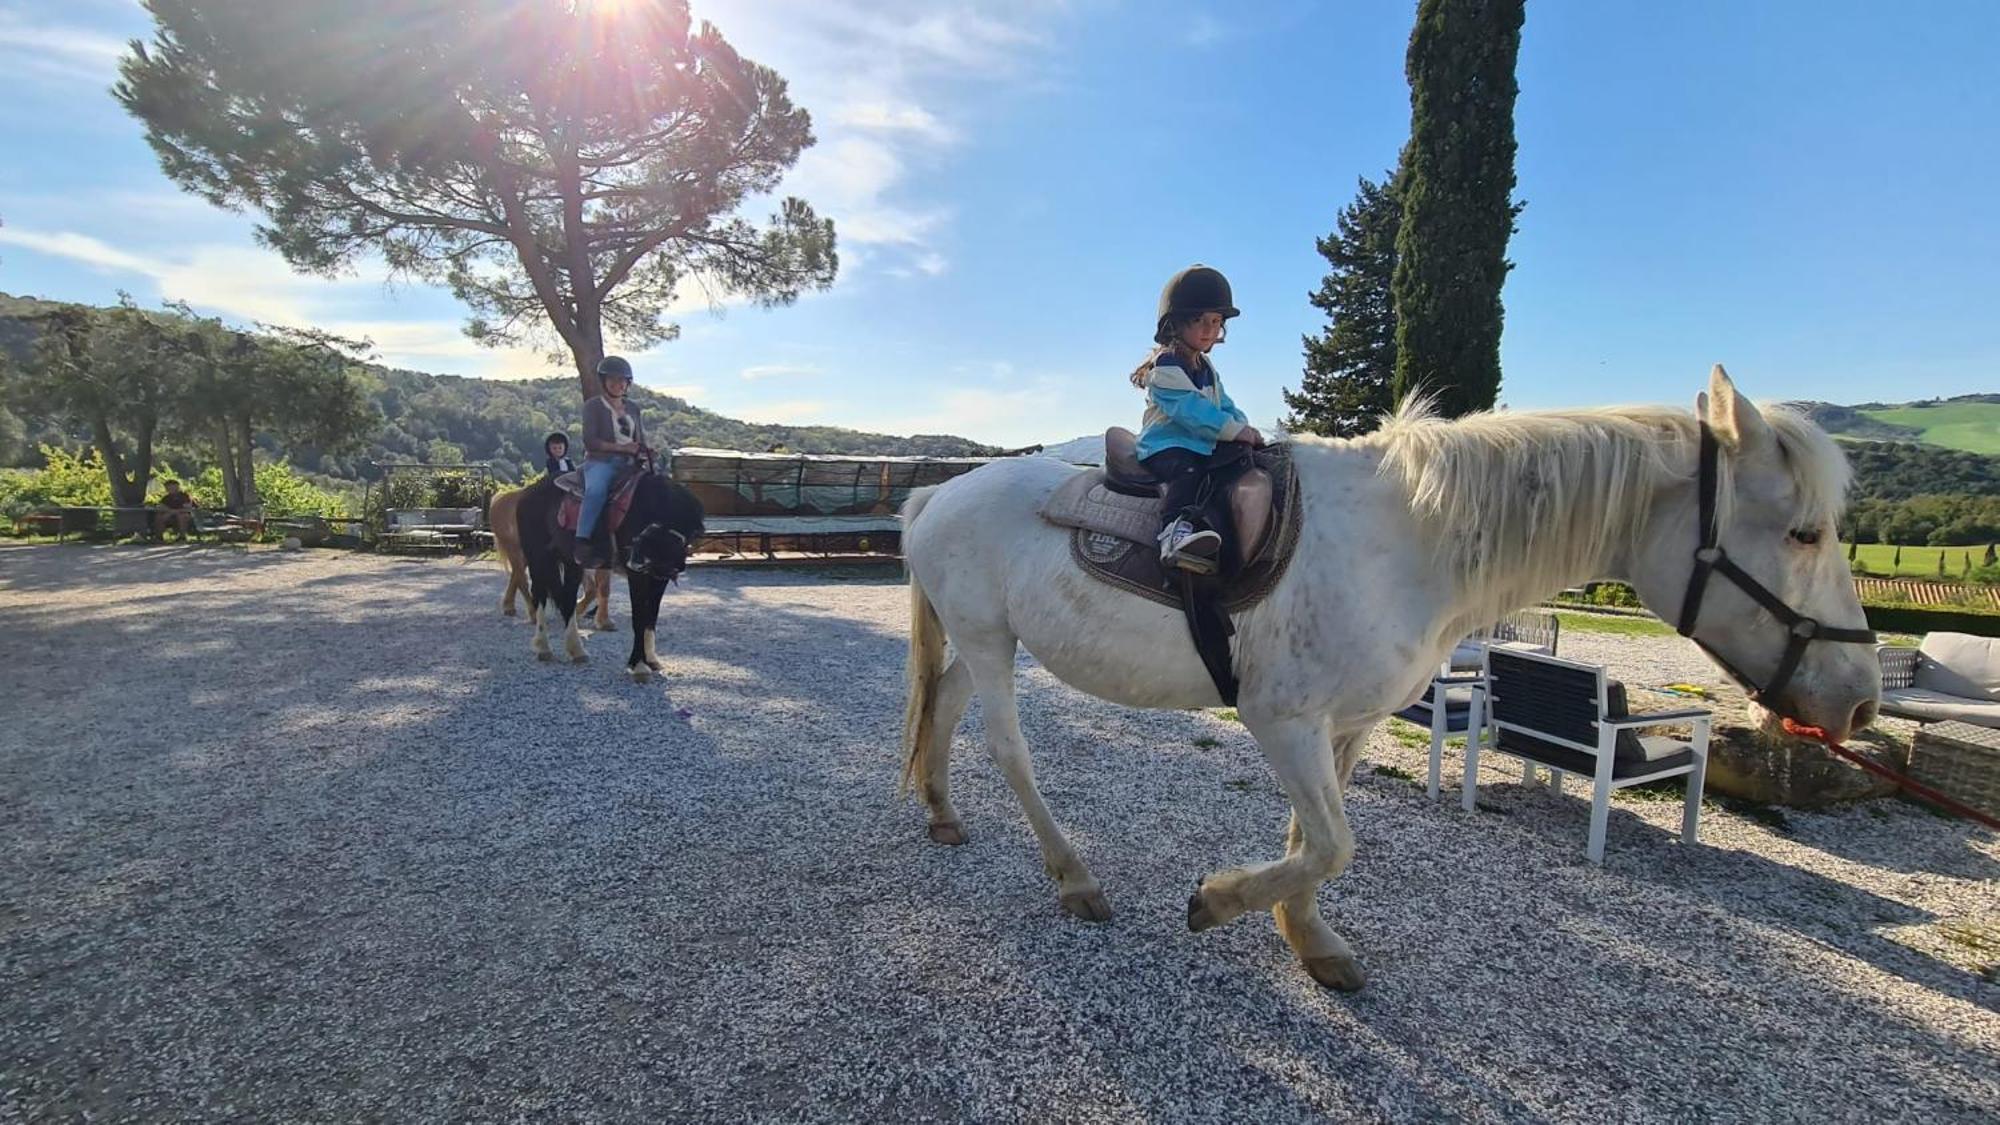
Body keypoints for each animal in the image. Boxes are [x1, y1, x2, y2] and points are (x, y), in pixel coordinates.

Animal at [520, 468, 708, 680]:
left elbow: (651, 618)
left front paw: (651, 659)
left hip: (571, 563)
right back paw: (543, 647)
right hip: (538, 557)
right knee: (540, 595)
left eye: (655, 537)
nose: (634, 561)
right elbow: (639, 618)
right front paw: (639, 665)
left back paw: (577, 650)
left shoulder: (658, 579)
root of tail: (528, 492)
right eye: (642, 533)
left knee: (567, 599)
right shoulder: (638, 577)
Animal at [900, 364, 1880, 984]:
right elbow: (1334, 843)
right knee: (1009, 748)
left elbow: (1316, 839)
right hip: (988, 639)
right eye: (1802, 531)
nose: (1861, 699)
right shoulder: (1281, 718)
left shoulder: (1345, 723)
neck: (1406, 542)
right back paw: (1075, 878)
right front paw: (1217, 901)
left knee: (943, 710)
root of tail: (941, 489)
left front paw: (1309, 937)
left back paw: (943, 814)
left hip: (988, 638)